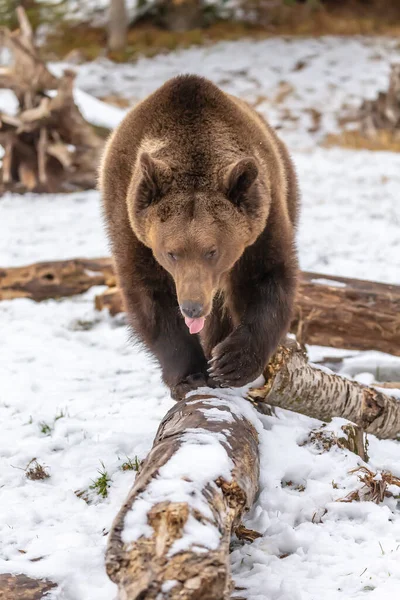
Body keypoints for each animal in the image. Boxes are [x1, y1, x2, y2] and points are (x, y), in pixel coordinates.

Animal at [100, 76, 300, 404]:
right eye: (171, 253)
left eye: (212, 251)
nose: (192, 308)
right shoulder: (131, 224)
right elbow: (151, 297)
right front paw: (190, 375)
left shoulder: (262, 219)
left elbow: (265, 279)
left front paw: (231, 361)